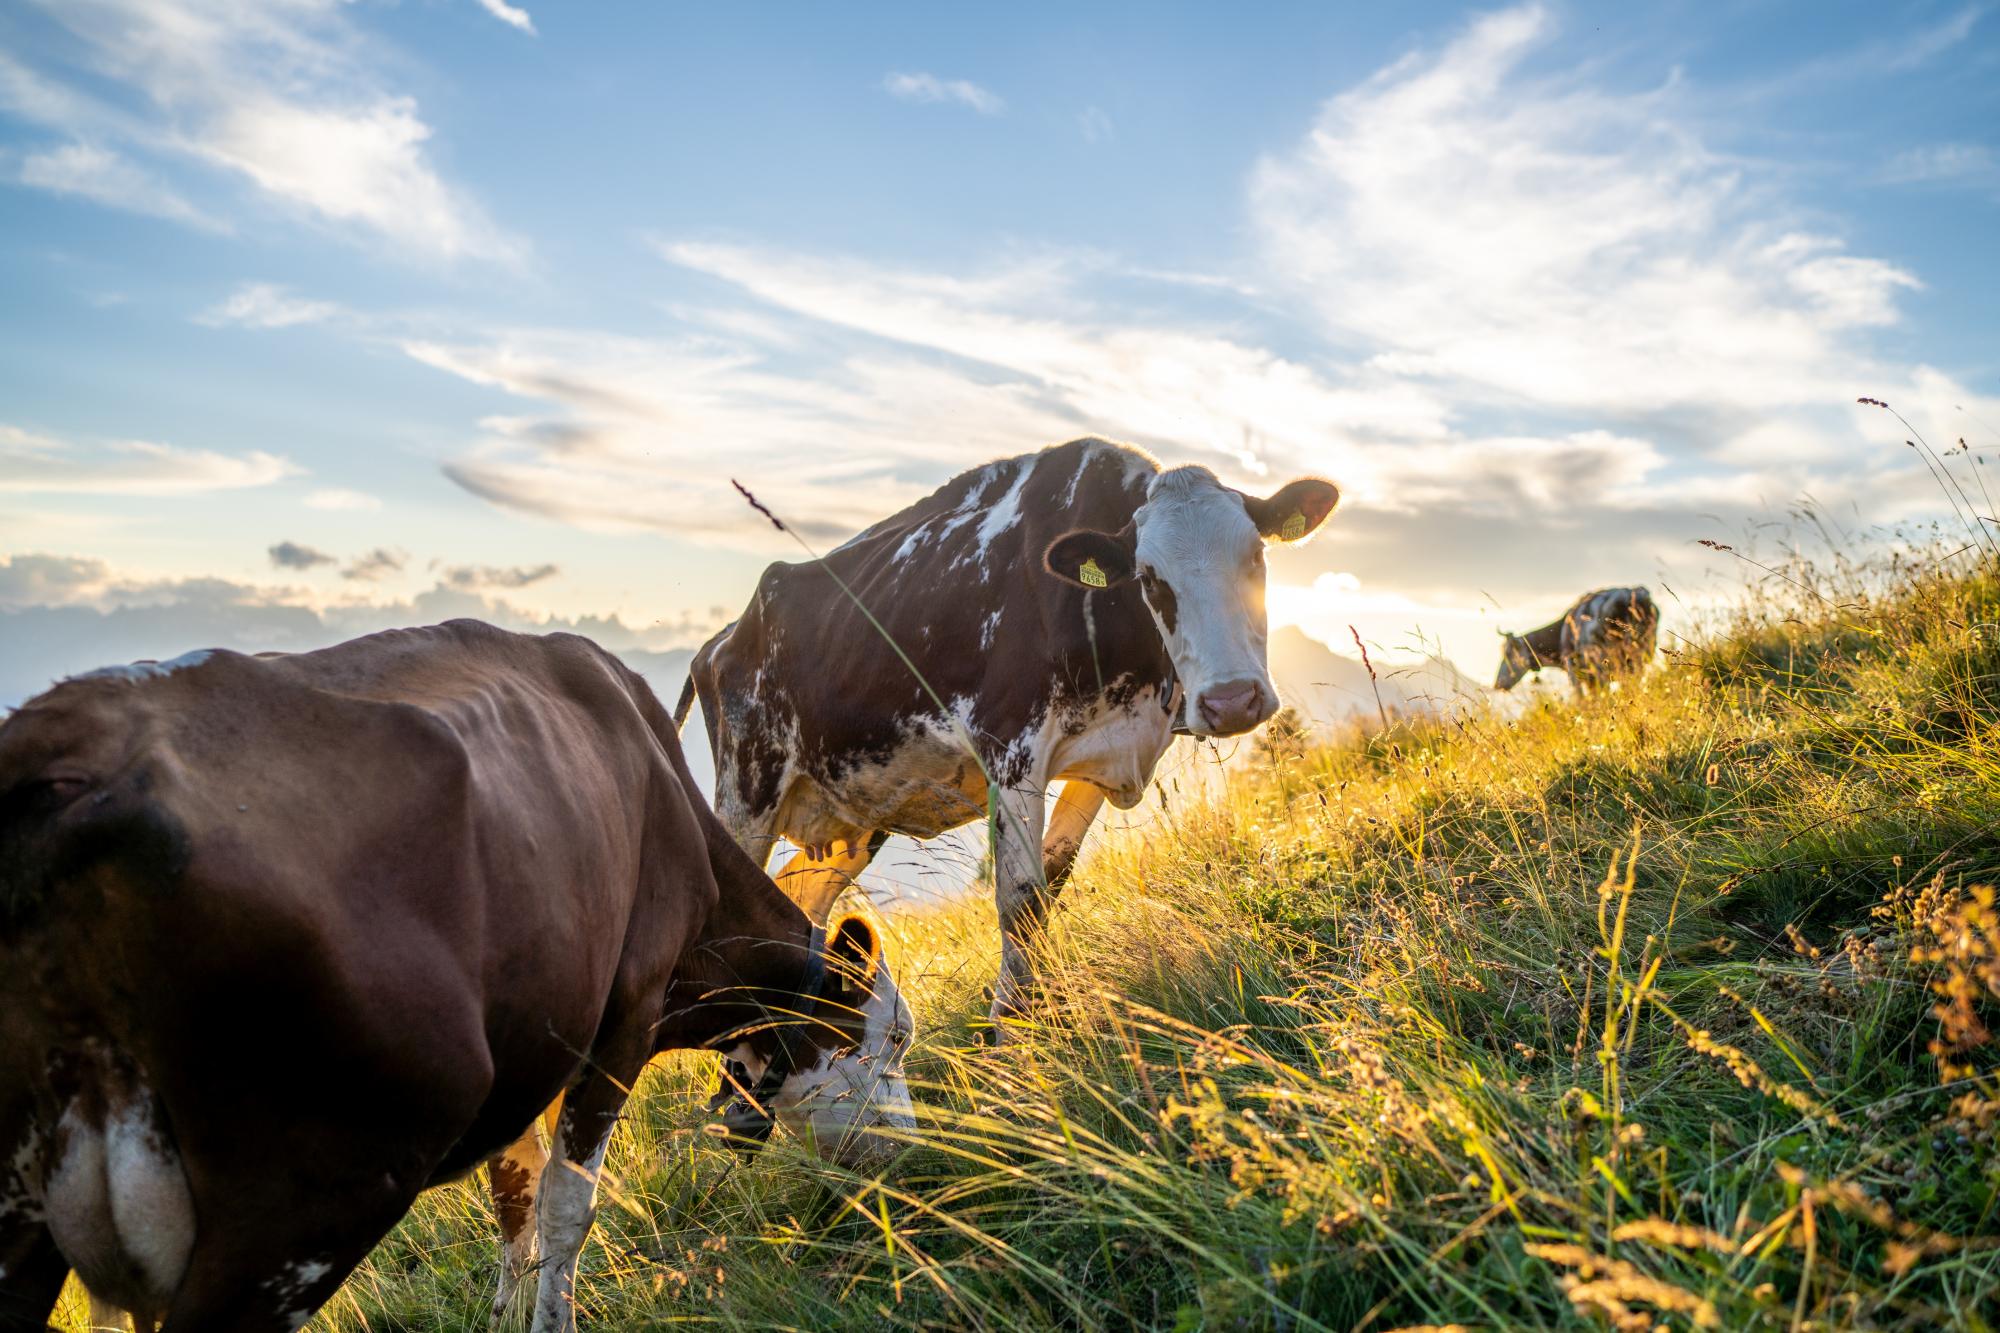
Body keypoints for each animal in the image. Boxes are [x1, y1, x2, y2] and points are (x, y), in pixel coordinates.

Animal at [0, 621, 915, 1333]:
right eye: (889, 1043)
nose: (912, 1153)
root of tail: (68, 748)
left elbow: (514, 1189)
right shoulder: (626, 1016)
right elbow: (567, 1207)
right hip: (306, 1201)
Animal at [679, 437, 1339, 1030]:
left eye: (1255, 558)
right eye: (1150, 578)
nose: (1232, 701)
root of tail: (722, 639)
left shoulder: (1110, 754)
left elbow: (1051, 879)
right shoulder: (1012, 752)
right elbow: (1019, 900)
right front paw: (1014, 1035)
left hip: (856, 815)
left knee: (802, 908)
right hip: (745, 793)